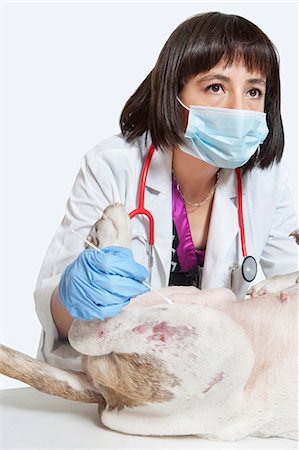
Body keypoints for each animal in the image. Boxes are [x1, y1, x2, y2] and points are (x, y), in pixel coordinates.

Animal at [0, 206, 299, 442]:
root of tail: (102, 392)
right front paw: (273, 284)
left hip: (222, 344)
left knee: (91, 331)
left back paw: (109, 237)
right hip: (205, 305)